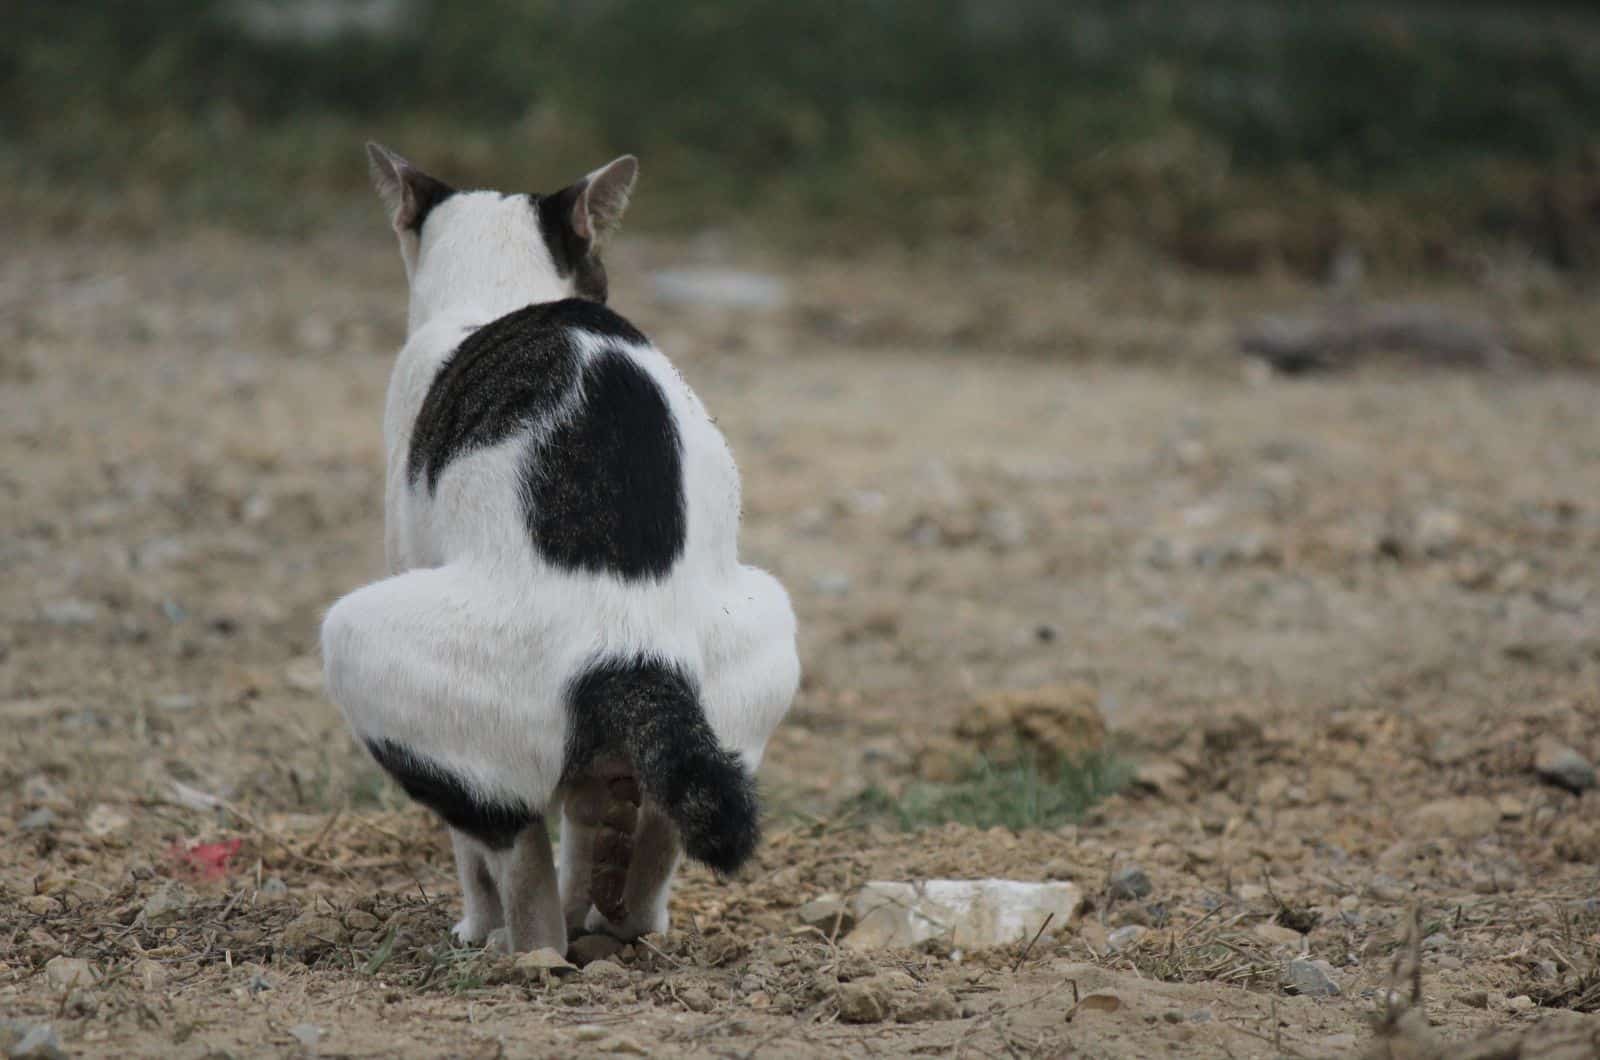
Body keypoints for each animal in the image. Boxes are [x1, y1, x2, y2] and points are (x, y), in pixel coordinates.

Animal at [320, 143, 800, 954]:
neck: (502, 297)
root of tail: (637, 652)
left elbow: (476, 854)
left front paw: (478, 925)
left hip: (357, 636)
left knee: (508, 843)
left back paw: (524, 947)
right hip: (763, 629)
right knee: (655, 828)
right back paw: (618, 921)